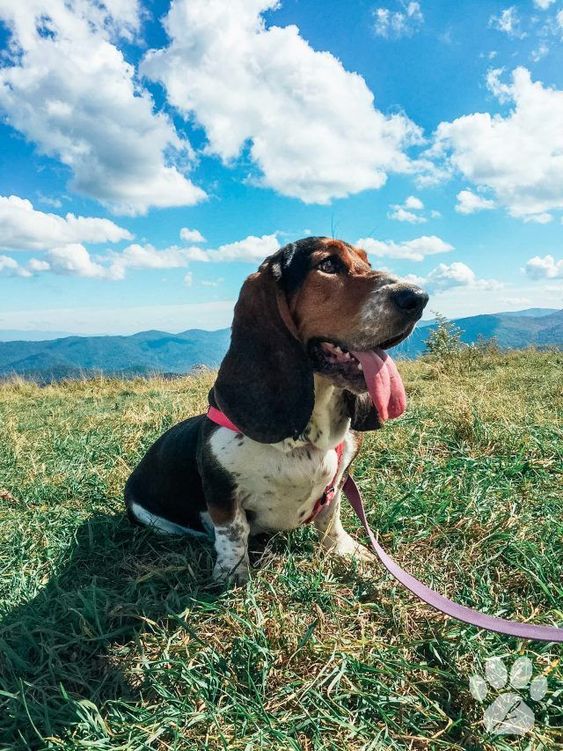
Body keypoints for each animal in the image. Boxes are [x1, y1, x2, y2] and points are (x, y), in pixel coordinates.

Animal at [125, 238, 430, 584]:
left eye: (367, 262)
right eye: (328, 264)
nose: (418, 297)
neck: (303, 440)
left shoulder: (339, 481)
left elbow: (331, 517)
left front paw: (344, 551)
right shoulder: (222, 492)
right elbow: (233, 532)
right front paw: (232, 575)